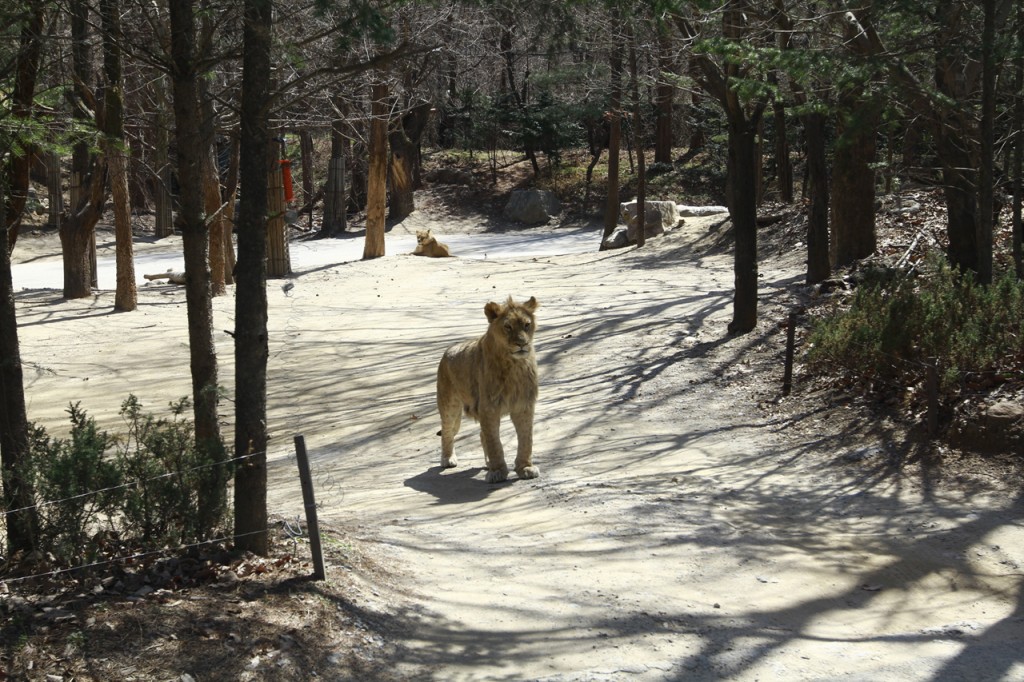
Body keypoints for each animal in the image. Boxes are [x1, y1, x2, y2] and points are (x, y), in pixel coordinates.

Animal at [436, 294, 540, 481]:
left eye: (527, 325)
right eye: (507, 326)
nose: (522, 344)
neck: (514, 365)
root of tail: (448, 350)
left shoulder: (524, 405)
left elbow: (526, 439)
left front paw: (525, 468)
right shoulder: (489, 408)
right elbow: (494, 442)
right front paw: (497, 471)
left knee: (481, 434)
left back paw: (488, 463)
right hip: (449, 406)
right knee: (447, 431)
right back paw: (448, 459)